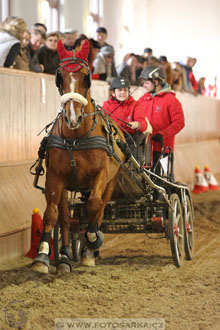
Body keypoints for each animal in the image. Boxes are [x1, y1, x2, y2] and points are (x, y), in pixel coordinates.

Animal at [31, 39, 126, 274]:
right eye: (60, 77)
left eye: (86, 76)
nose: (73, 118)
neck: (76, 137)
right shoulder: (55, 177)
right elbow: (52, 214)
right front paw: (42, 256)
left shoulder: (101, 175)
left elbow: (93, 205)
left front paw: (92, 241)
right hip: (68, 186)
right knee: (66, 219)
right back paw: (65, 258)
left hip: (111, 182)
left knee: (99, 209)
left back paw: (89, 251)